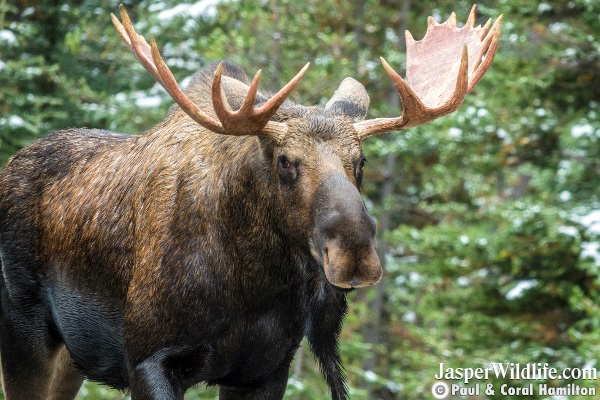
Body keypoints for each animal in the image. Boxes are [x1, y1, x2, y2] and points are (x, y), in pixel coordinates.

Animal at [0, 3, 502, 400]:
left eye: (360, 161)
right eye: (284, 161)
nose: (355, 254)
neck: (255, 283)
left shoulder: (266, 369)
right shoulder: (148, 360)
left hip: (70, 358)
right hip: (23, 331)